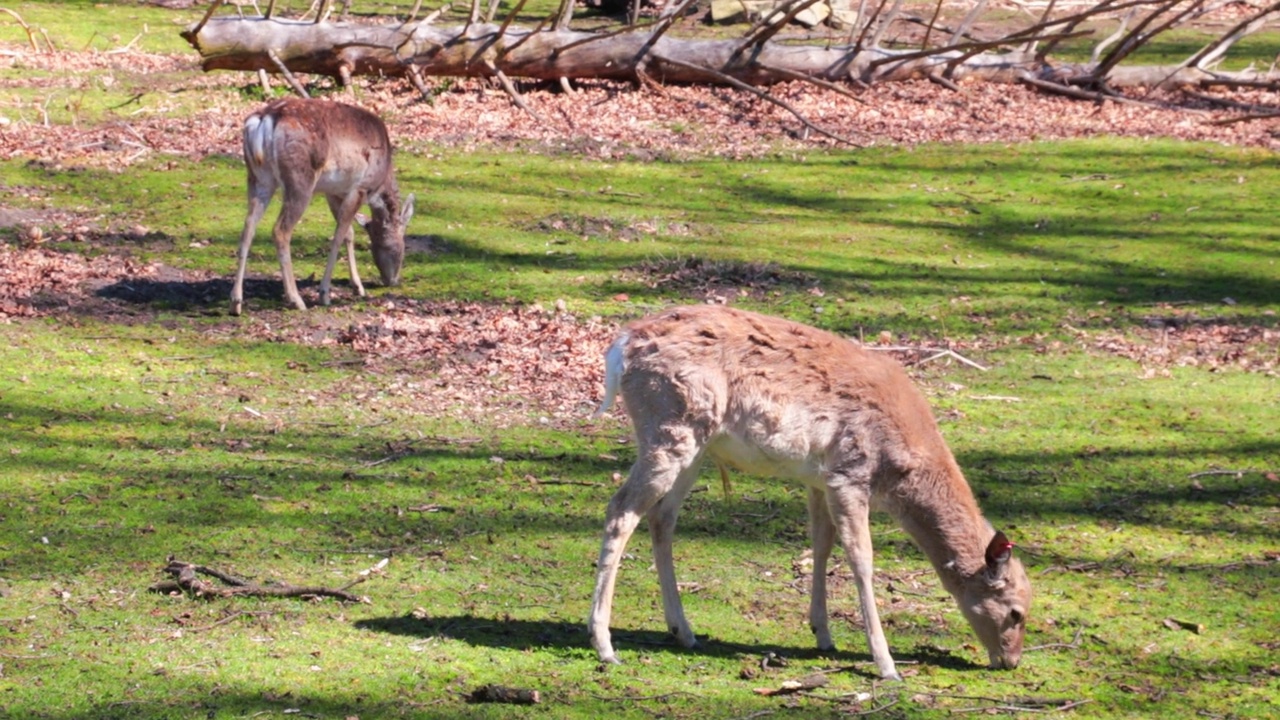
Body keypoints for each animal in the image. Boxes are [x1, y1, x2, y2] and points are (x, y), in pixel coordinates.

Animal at [227, 96, 412, 312]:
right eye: (402, 242)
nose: (392, 280)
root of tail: (265, 118)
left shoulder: (333, 192)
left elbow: (349, 233)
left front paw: (357, 286)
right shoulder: (360, 187)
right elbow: (339, 234)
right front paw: (325, 294)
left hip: (258, 178)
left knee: (248, 226)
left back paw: (236, 302)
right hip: (300, 180)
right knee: (280, 230)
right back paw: (296, 299)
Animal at [588, 302, 1029, 676]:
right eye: (1016, 612)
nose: (1010, 662)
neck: (902, 467)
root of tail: (621, 347)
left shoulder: (819, 480)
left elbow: (821, 545)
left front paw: (824, 635)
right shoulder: (849, 473)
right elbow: (861, 559)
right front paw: (886, 664)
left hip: (695, 445)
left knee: (661, 517)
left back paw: (684, 631)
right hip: (671, 426)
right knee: (621, 510)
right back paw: (605, 645)